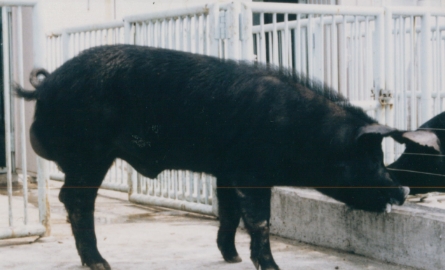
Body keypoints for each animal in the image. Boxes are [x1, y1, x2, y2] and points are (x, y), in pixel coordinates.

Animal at [14, 45, 416, 268]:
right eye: (372, 160)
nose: (403, 190)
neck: (304, 131)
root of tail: (46, 86)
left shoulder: (227, 169)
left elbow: (229, 212)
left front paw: (231, 258)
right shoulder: (252, 172)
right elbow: (259, 220)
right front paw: (271, 267)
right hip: (89, 155)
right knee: (77, 201)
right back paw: (100, 264)